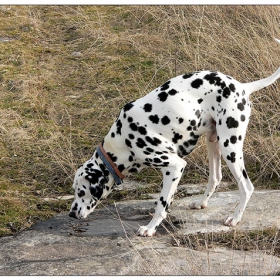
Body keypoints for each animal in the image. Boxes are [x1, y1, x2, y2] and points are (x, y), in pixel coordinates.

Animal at [69, 38, 280, 236]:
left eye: (81, 191)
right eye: (74, 190)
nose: (71, 214)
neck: (122, 140)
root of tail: (243, 87)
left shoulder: (175, 166)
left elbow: (161, 204)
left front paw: (150, 228)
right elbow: (166, 201)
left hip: (230, 148)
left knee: (246, 187)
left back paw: (235, 218)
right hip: (214, 143)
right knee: (216, 178)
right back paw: (201, 202)